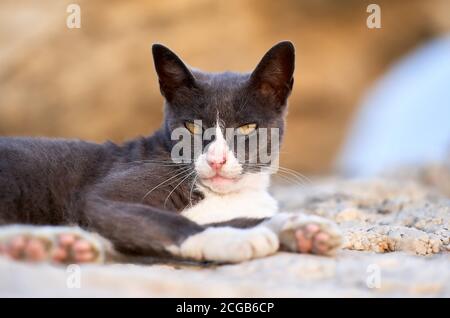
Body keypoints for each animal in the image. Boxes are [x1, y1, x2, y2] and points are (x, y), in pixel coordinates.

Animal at [0, 42, 342, 266]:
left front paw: (301, 228)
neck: (227, 196)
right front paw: (233, 239)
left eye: (246, 128)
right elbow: (165, 220)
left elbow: (238, 219)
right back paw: (38, 242)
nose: (217, 159)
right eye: (191, 126)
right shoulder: (100, 197)